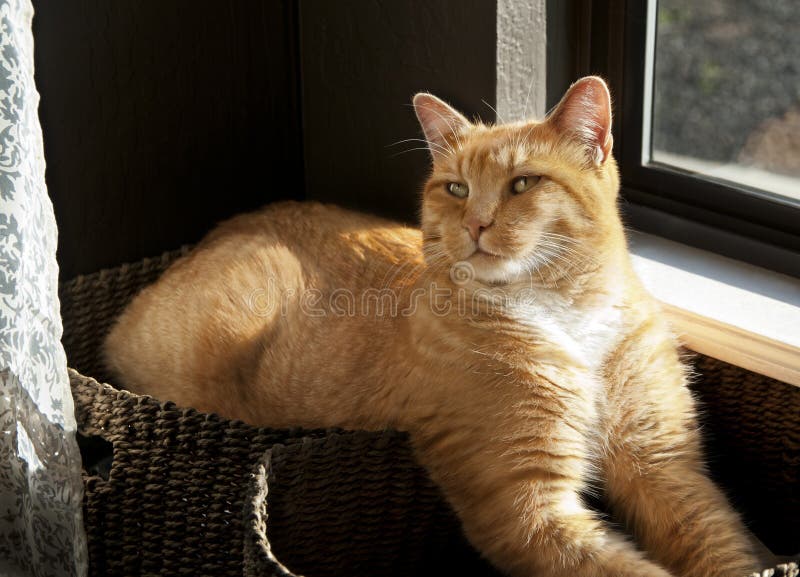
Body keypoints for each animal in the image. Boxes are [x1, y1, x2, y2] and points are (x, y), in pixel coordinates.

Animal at [104, 77, 756, 576]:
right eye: (456, 187)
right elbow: (625, 568)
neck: (565, 314)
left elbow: (723, 546)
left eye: (523, 183)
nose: (476, 223)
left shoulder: (666, 467)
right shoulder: (526, 510)